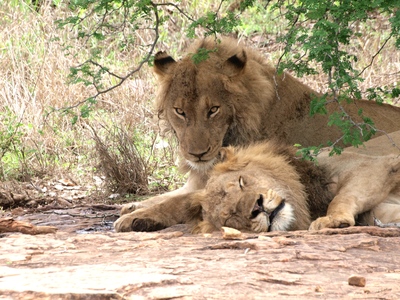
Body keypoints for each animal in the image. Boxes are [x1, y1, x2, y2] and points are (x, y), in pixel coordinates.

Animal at [114, 140, 400, 232]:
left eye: (243, 182)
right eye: (230, 215)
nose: (258, 207)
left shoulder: (376, 165)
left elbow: (341, 197)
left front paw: (331, 220)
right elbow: (176, 202)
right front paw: (136, 218)